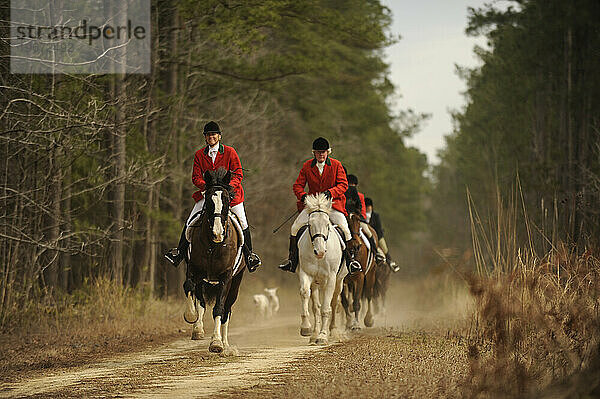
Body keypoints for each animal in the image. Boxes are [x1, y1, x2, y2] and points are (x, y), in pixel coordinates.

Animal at [183, 167, 244, 354]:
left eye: (227, 200)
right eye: (209, 201)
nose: (218, 233)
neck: (212, 245)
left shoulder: (226, 277)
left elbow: (219, 308)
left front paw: (216, 342)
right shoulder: (194, 269)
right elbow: (189, 287)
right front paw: (192, 318)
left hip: (235, 283)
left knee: (226, 310)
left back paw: (225, 344)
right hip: (204, 280)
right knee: (201, 301)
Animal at [296, 193, 346, 344]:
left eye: (327, 224)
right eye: (309, 225)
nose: (320, 252)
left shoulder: (331, 279)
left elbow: (326, 308)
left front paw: (323, 336)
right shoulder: (306, 273)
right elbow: (305, 293)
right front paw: (306, 328)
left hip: (338, 281)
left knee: (334, 303)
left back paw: (333, 331)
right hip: (316, 283)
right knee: (315, 306)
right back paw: (314, 334)